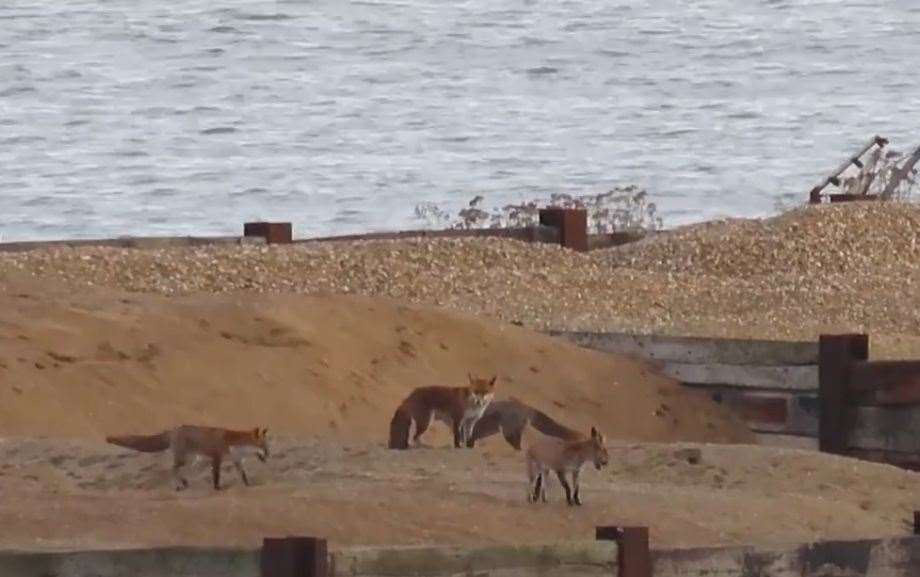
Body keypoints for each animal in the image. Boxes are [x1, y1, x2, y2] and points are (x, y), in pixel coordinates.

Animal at [106, 424, 270, 490]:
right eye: (264, 447)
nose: (268, 455)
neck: (234, 444)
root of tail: (173, 430)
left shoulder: (236, 461)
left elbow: (243, 475)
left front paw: (248, 485)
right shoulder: (216, 457)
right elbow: (216, 476)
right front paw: (217, 488)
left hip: (192, 460)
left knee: (179, 470)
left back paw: (184, 483)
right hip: (184, 458)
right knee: (172, 469)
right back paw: (179, 485)